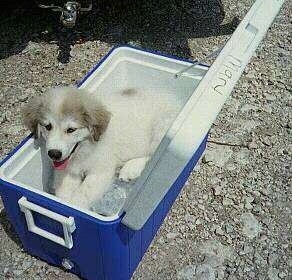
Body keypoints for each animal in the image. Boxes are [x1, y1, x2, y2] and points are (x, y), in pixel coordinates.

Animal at [22, 86, 181, 209]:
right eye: (48, 126)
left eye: (71, 130)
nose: (54, 154)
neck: (84, 150)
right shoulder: (68, 171)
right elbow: (64, 192)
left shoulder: (100, 171)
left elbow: (83, 193)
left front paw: (75, 206)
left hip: (161, 129)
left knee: (155, 155)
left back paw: (130, 169)